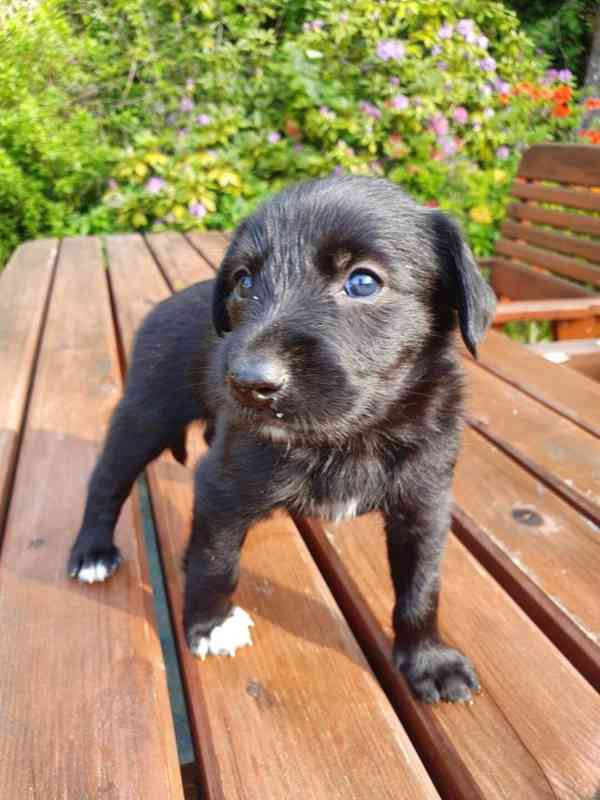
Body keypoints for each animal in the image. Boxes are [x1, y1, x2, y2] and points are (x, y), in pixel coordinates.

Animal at [67, 178, 496, 704]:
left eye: (363, 281)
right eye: (244, 281)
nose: (249, 382)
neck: (349, 437)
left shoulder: (425, 500)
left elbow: (422, 585)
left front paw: (428, 660)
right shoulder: (222, 482)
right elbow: (215, 560)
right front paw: (209, 625)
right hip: (144, 416)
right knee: (106, 481)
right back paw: (92, 551)